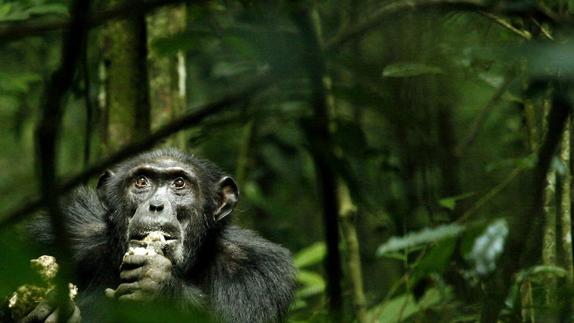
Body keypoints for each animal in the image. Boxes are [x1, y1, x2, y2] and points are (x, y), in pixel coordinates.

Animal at [25, 149, 296, 323]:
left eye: (179, 183)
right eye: (141, 181)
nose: (156, 205)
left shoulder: (258, 274)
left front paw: (156, 280)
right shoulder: (60, 234)